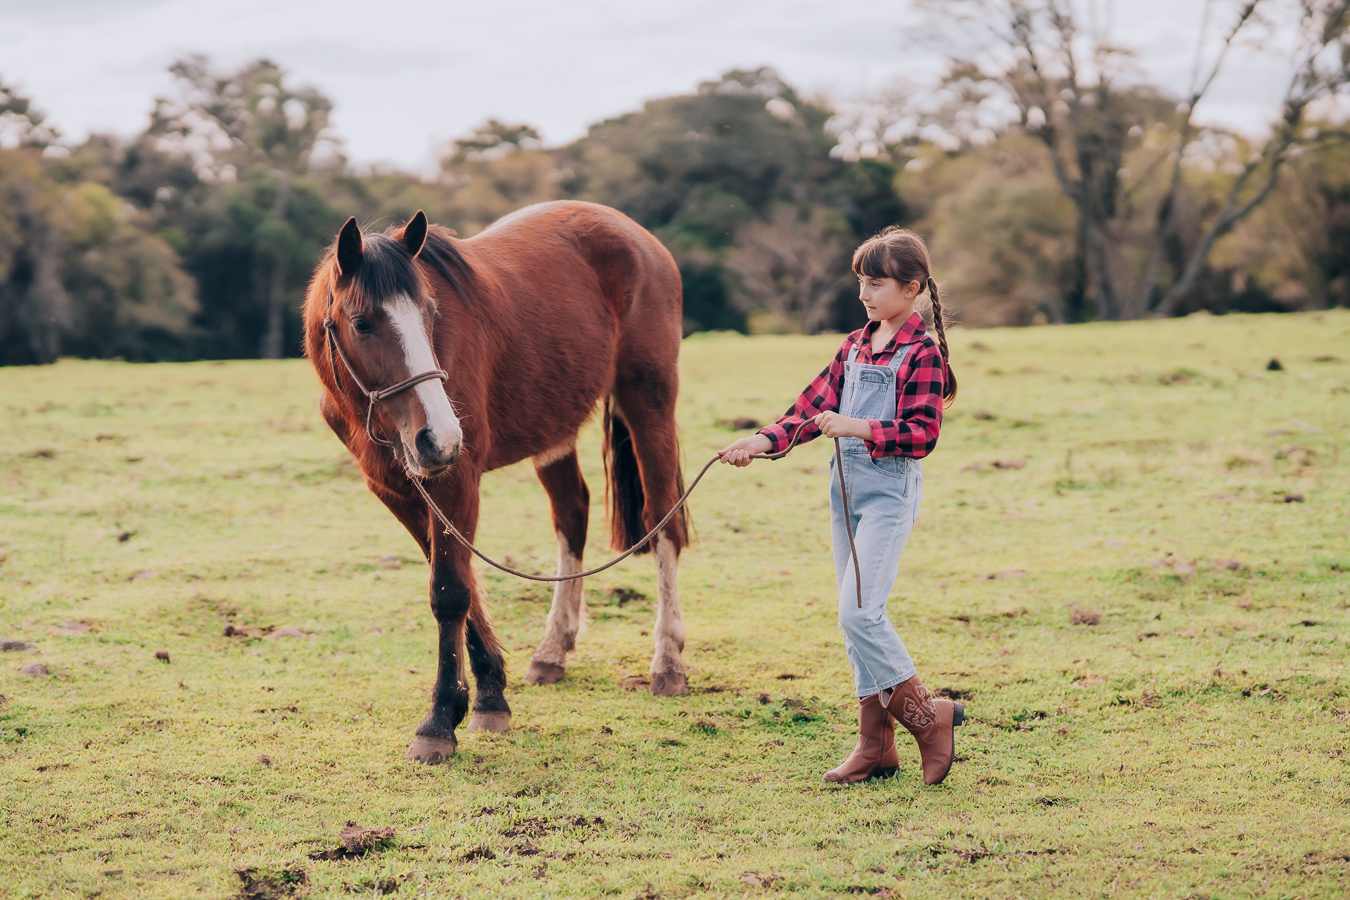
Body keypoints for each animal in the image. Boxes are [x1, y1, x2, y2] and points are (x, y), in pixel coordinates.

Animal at [302, 201, 690, 764]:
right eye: (362, 323)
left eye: (432, 314)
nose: (439, 438)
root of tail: (634, 234)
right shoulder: (400, 490)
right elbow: (457, 582)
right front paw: (487, 694)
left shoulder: (456, 479)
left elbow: (450, 592)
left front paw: (440, 720)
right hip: (554, 430)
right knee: (572, 516)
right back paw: (553, 650)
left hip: (649, 405)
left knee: (664, 524)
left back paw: (668, 661)